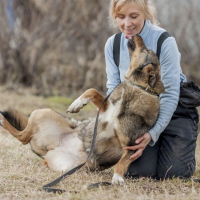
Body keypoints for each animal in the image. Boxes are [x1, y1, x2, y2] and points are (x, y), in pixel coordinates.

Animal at [0, 34, 164, 184]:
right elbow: (92, 91)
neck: (138, 88)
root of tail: (50, 150)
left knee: (23, 138)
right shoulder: (105, 108)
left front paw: (117, 178)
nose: (137, 34)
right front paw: (77, 104)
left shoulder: (132, 147)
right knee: (23, 136)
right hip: (41, 112)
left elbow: (122, 163)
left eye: (147, 50)